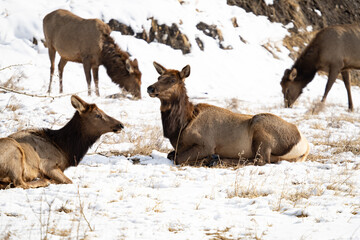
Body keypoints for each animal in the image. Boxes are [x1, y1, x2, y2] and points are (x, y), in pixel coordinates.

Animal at [148, 62, 310, 166]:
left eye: (172, 79)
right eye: (159, 78)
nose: (150, 88)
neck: (181, 127)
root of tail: (304, 144)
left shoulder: (206, 144)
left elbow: (178, 158)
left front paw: (206, 159)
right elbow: (170, 154)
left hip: (262, 132)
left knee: (261, 160)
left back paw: (215, 160)